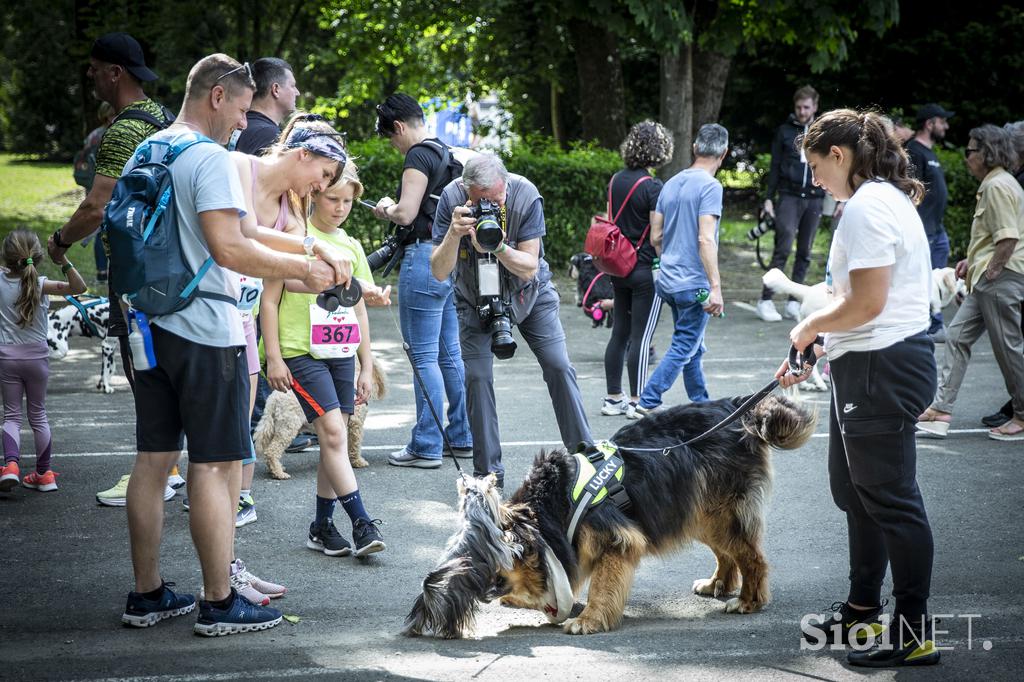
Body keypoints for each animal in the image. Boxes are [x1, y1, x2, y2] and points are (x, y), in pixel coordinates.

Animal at [403, 391, 811, 634]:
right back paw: (719, 584)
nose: (483, 591)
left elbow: (602, 583)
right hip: (698, 511)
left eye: (487, 563)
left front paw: (588, 619)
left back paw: (749, 600)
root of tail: (738, 409)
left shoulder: (618, 539)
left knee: (752, 557)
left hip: (717, 513)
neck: (552, 508)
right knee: (729, 553)